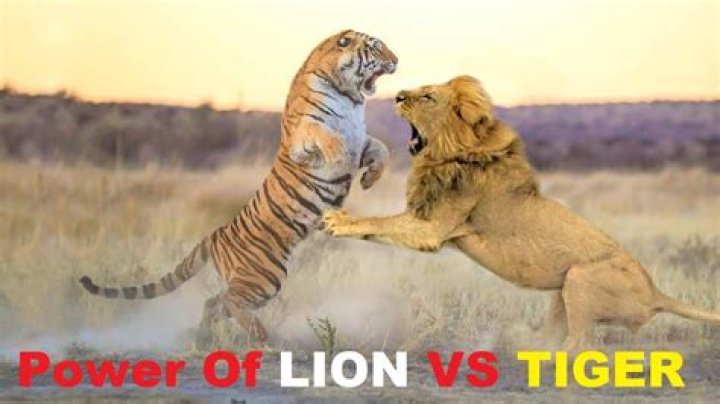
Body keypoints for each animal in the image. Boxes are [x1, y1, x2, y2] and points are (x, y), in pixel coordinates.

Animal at [79, 29, 398, 344]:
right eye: (376, 47)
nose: (396, 60)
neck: (349, 96)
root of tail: (216, 235)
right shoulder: (303, 136)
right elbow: (325, 135)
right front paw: (340, 157)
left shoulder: (362, 140)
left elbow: (382, 149)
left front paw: (369, 179)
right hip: (264, 277)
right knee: (228, 301)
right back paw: (261, 337)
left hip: (258, 282)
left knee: (213, 302)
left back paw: (205, 337)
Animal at [321, 75, 720, 352]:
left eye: (428, 96)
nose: (398, 96)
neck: (451, 153)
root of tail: (656, 293)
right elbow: (380, 225)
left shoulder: (432, 228)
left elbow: (379, 222)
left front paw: (338, 220)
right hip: (563, 289)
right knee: (561, 337)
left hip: (581, 278)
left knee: (580, 345)